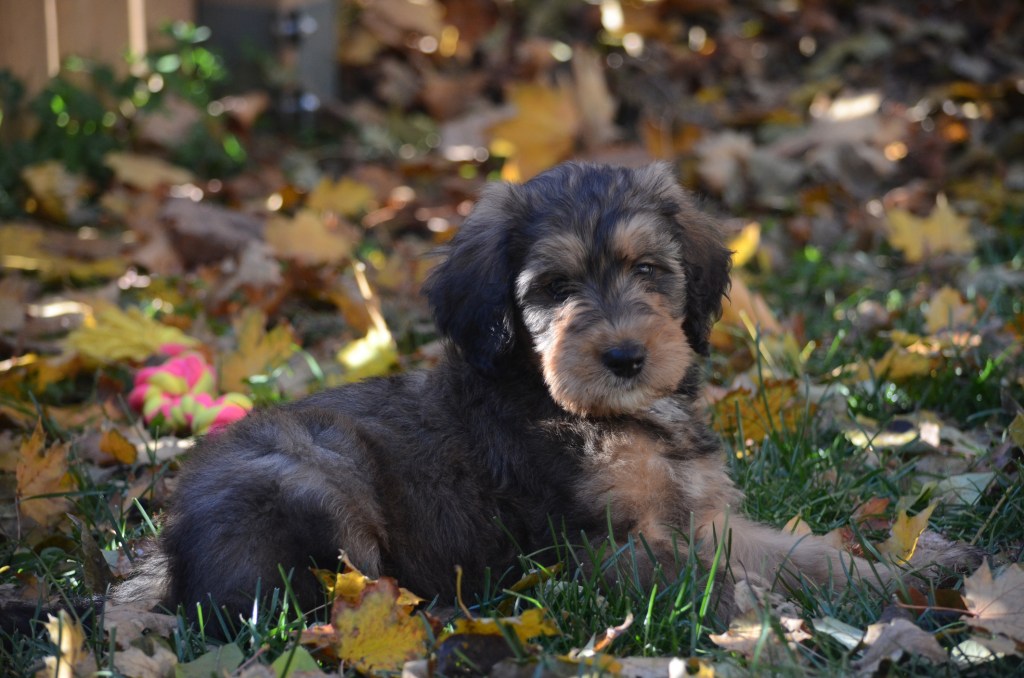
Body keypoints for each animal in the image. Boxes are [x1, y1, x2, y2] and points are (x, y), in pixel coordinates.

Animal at [108, 161, 888, 618]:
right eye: (555, 288)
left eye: (647, 270)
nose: (625, 357)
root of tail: (168, 557)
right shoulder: (596, 543)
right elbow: (699, 581)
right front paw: (770, 624)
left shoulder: (706, 516)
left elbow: (796, 552)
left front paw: (891, 576)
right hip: (310, 481)